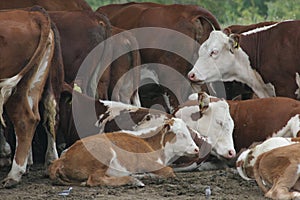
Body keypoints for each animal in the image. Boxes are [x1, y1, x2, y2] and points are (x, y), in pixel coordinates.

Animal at [0, 7, 62, 188]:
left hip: (16, 85)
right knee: (41, 116)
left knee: (24, 119)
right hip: (34, 83)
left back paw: (14, 175)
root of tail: (34, 14)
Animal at [48, 117, 199, 188]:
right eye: (181, 134)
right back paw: (133, 181)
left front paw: (146, 175)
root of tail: (63, 158)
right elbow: (169, 171)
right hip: (104, 153)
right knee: (95, 179)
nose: (197, 149)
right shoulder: (150, 162)